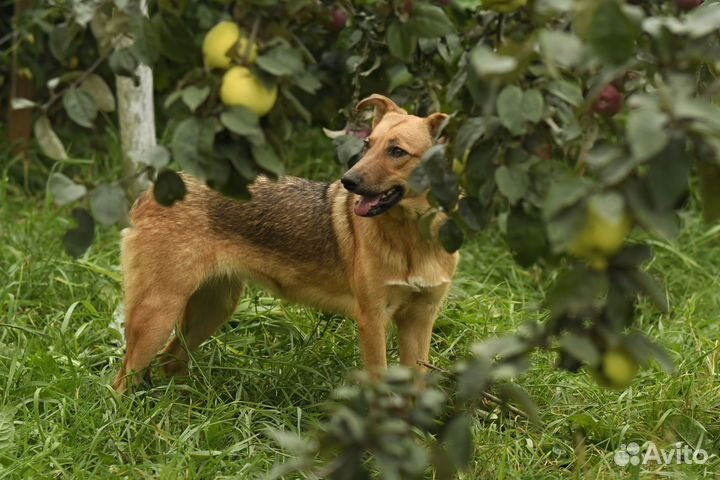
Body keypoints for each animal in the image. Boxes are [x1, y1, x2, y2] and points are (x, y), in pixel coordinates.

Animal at [112, 94, 462, 394]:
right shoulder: (372, 320)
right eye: (368, 144)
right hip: (157, 314)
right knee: (122, 381)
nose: (348, 181)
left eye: (397, 152)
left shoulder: (419, 321)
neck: (413, 241)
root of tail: (150, 192)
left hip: (213, 307)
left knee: (171, 360)